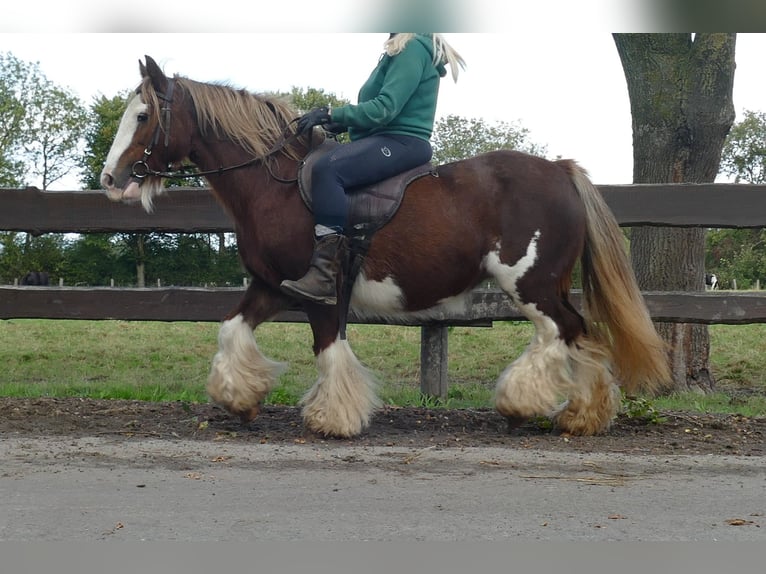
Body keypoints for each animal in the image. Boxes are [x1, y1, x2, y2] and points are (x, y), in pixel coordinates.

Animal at [100, 56, 672, 438]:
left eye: (144, 116)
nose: (110, 178)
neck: (276, 185)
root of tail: (559, 169)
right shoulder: (271, 287)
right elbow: (230, 330)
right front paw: (239, 399)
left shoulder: (321, 295)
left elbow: (330, 351)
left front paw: (333, 417)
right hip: (545, 283)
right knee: (580, 334)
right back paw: (583, 414)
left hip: (530, 282)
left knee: (561, 332)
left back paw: (526, 403)